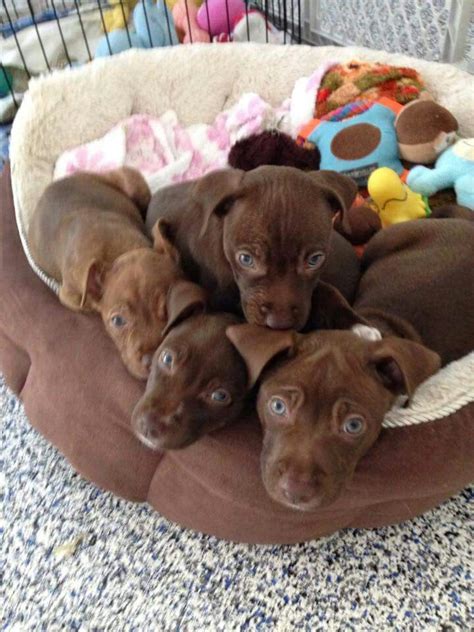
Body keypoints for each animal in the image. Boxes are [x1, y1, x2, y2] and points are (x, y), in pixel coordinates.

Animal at [27, 168, 202, 378]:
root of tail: (54, 184)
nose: (152, 361)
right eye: (118, 321)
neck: (120, 252)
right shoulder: (70, 296)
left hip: (131, 180)